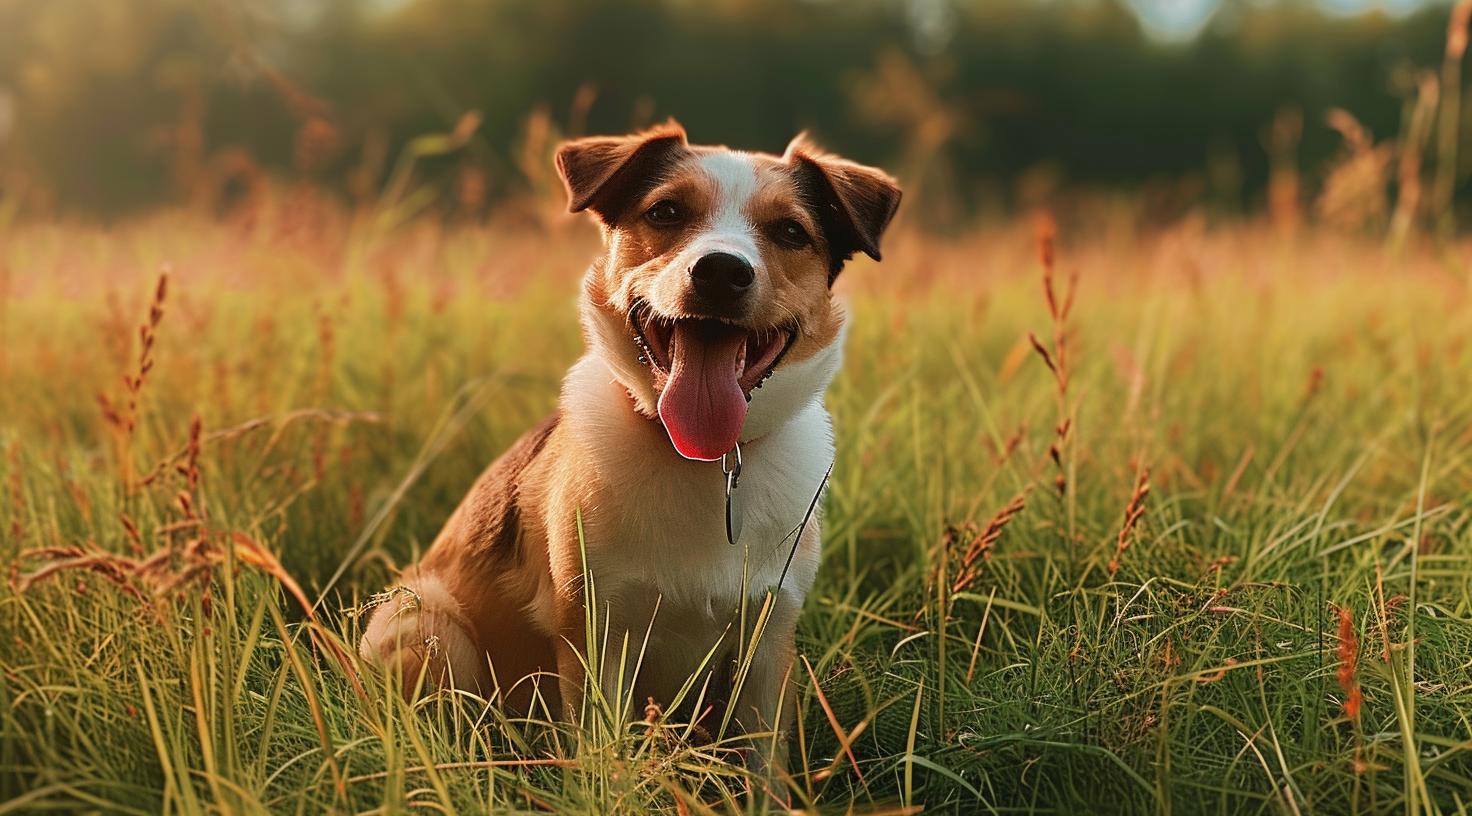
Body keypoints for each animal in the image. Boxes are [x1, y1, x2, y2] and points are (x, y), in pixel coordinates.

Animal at [359, 117, 894, 760]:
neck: (699, 458)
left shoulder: (768, 640)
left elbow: (762, 761)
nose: (721, 272)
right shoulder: (597, 637)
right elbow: (603, 753)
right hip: (423, 623)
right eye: (666, 212)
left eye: (791, 231)